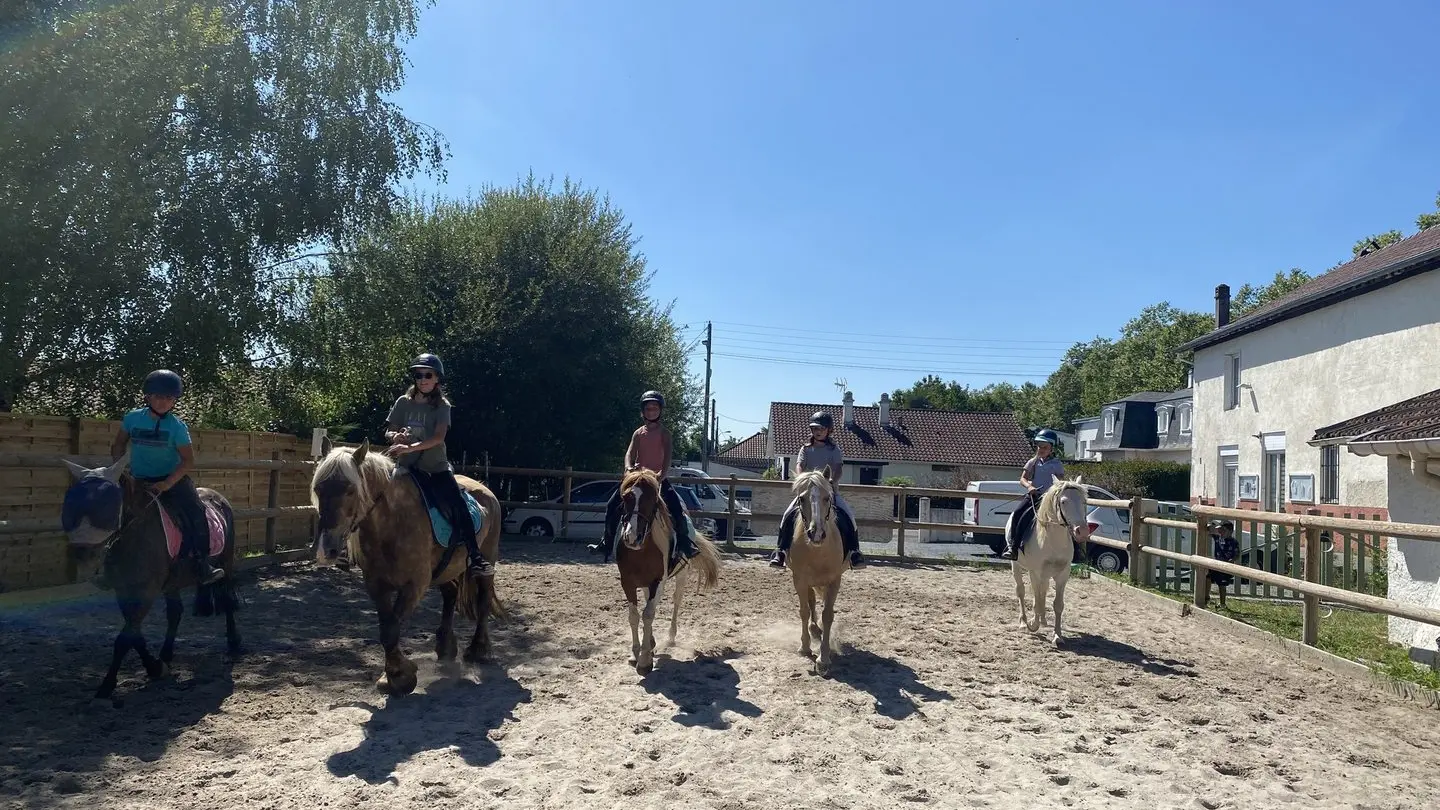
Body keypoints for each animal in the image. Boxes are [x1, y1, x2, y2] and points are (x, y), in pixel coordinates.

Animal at [306, 438, 504, 691]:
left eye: (350, 490)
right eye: (318, 489)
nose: (326, 549)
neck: (393, 522)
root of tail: (486, 490)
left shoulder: (415, 585)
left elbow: (391, 629)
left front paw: (400, 677)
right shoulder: (376, 585)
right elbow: (386, 629)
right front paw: (392, 675)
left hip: (487, 558)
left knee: (483, 599)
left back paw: (478, 649)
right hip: (447, 568)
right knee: (450, 595)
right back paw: (445, 646)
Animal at [610, 464, 720, 671]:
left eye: (652, 498)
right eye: (626, 497)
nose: (632, 537)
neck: (642, 550)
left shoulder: (658, 581)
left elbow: (648, 614)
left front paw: (645, 659)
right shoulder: (627, 582)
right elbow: (635, 615)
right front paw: (636, 653)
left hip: (681, 575)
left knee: (675, 601)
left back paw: (670, 637)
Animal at [783, 466, 846, 674]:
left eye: (827, 497)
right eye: (802, 498)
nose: (816, 533)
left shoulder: (834, 581)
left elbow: (828, 615)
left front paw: (823, 658)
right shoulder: (799, 579)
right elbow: (803, 610)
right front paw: (805, 647)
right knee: (810, 602)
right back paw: (813, 629)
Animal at [1013, 472, 1088, 642]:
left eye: (1083, 501)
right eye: (1064, 502)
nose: (1082, 531)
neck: (1053, 540)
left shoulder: (1063, 575)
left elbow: (1057, 604)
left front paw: (1057, 635)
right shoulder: (1035, 572)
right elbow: (1036, 600)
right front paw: (1033, 625)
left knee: (1043, 591)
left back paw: (1043, 621)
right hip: (1017, 566)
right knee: (1021, 591)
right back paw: (1024, 622)